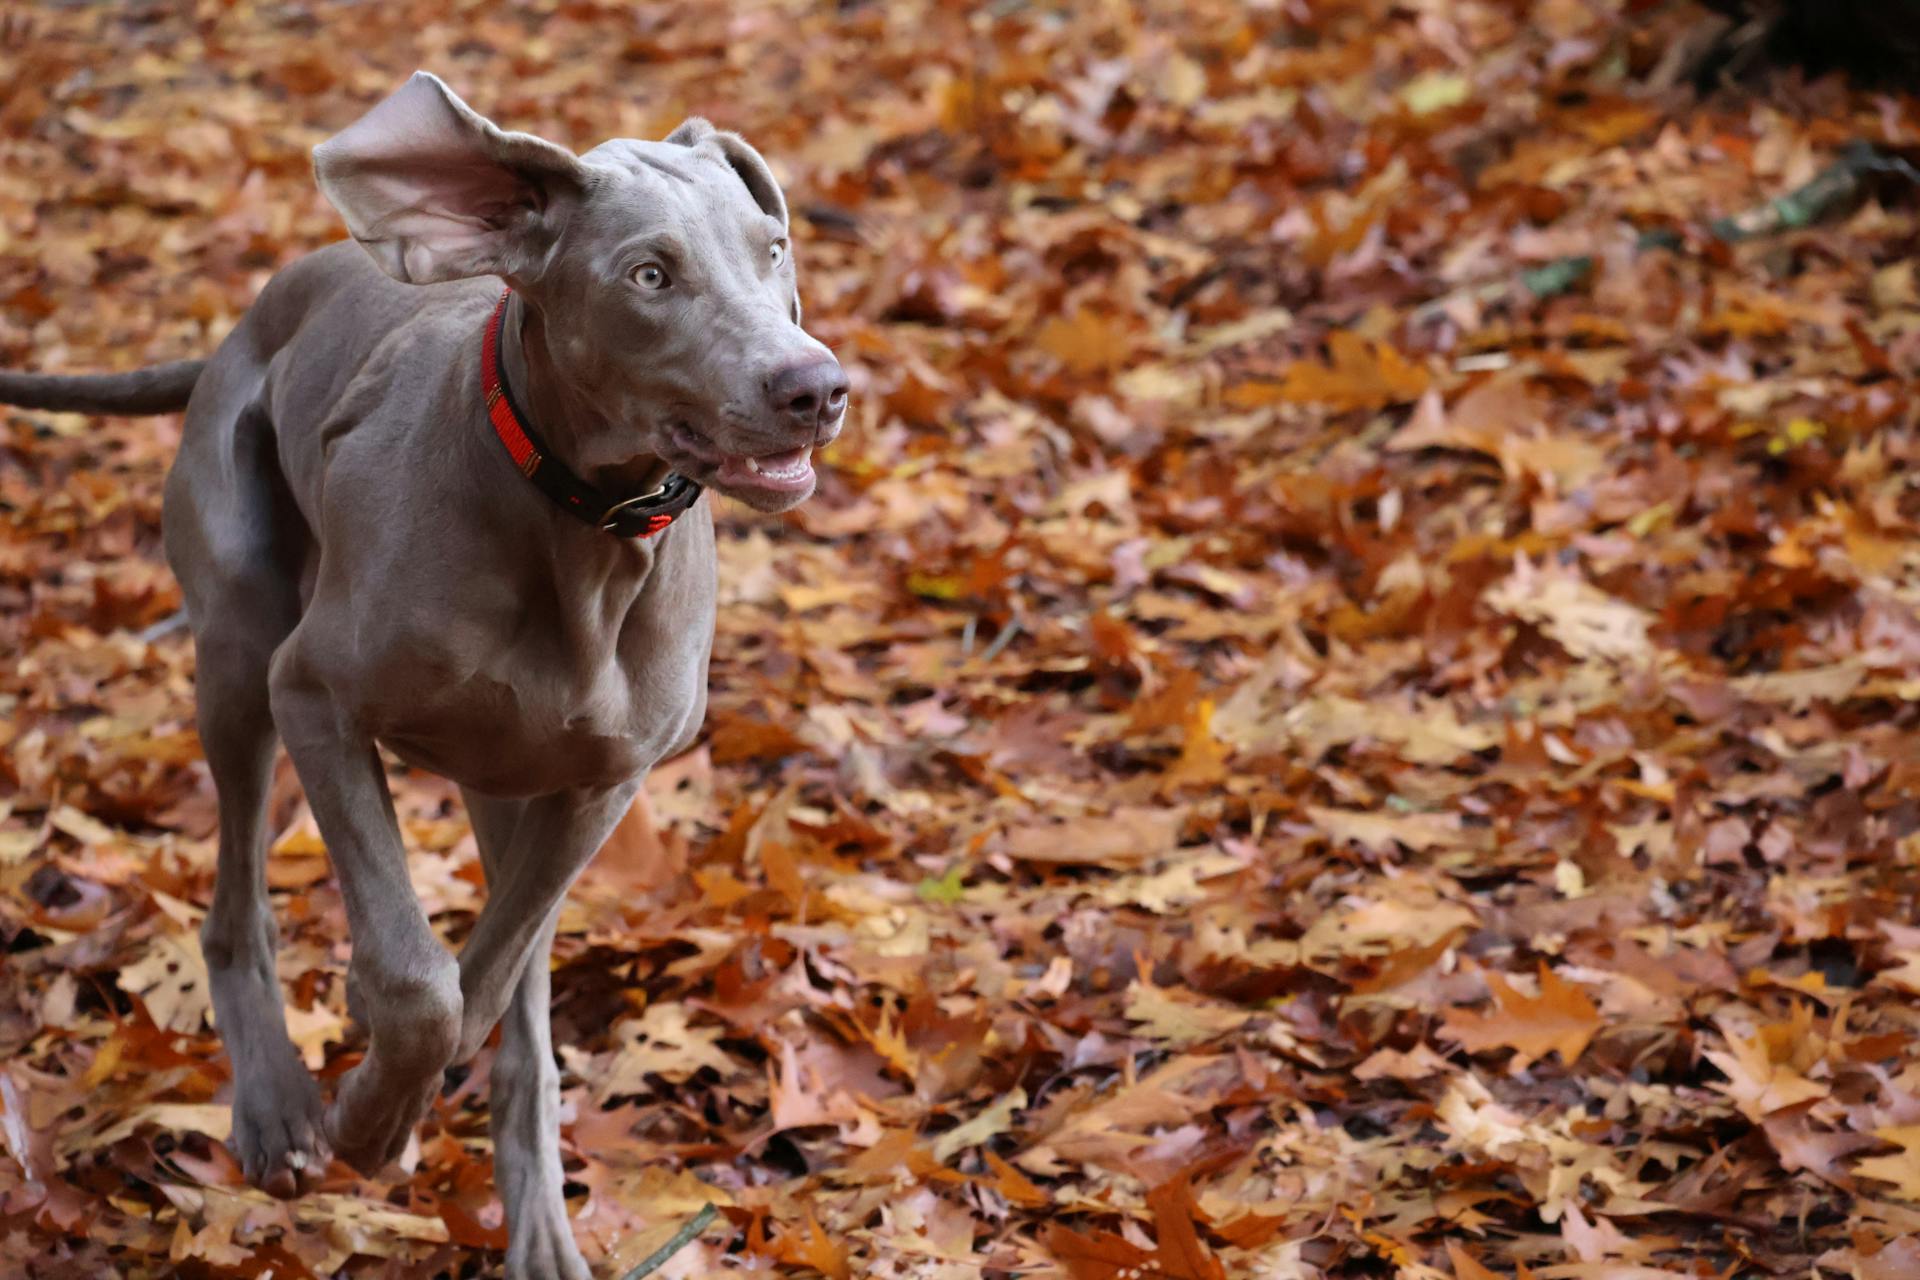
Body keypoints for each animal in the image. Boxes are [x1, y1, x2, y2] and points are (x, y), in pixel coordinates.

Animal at [0, 75, 844, 1274]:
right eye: (649, 275)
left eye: (772, 248)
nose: (816, 387)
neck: (578, 529)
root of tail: (246, 323)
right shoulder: (314, 695)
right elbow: (413, 976)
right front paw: (362, 1121)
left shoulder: (603, 780)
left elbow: (484, 982)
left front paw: (398, 1107)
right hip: (238, 647)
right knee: (236, 904)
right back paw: (278, 1107)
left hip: (508, 780)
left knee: (513, 998)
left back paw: (537, 1229)